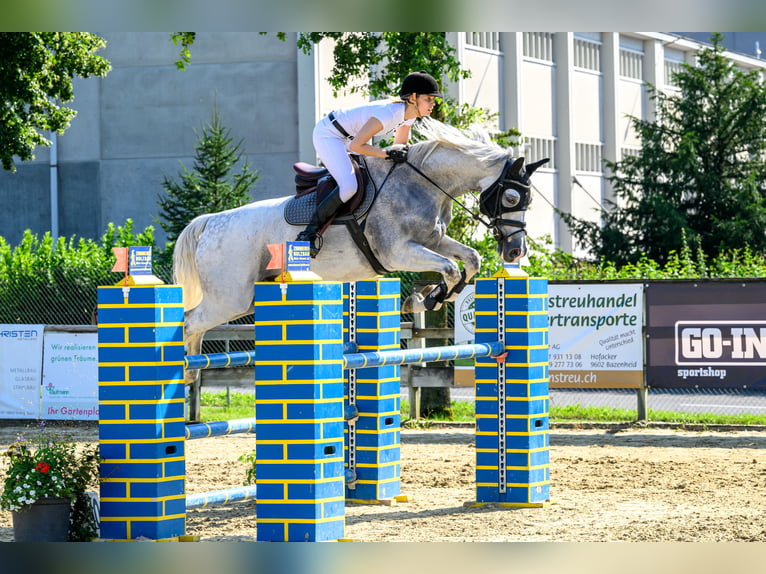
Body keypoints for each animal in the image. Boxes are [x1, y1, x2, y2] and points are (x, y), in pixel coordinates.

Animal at [174, 119, 544, 384]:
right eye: (512, 198)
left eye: (528, 202)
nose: (515, 251)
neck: (423, 183)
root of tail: (209, 223)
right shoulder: (398, 252)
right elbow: (451, 268)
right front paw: (423, 299)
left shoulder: (434, 241)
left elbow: (469, 260)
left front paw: (433, 296)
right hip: (231, 297)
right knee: (190, 321)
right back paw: (184, 374)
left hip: (248, 295)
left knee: (196, 325)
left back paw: (191, 373)